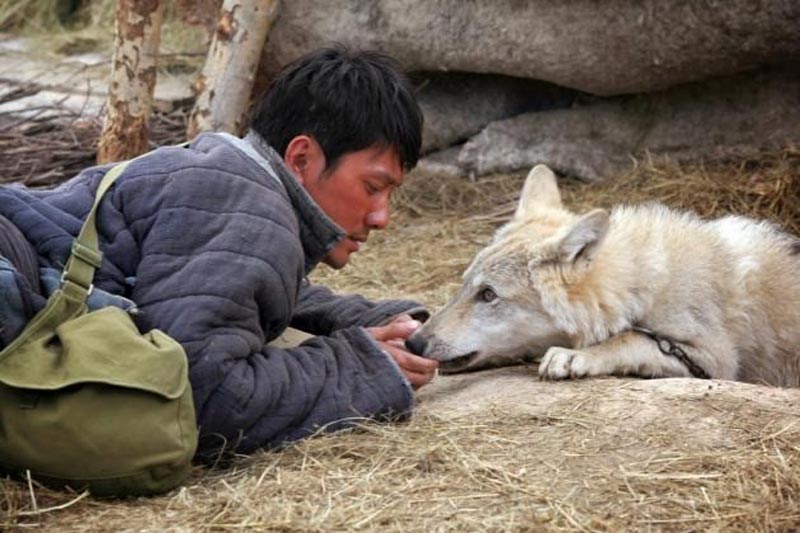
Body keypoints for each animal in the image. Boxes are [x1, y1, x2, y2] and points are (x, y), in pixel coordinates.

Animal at [406, 164, 800, 384]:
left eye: (488, 294)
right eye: (464, 286)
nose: (414, 343)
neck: (641, 287)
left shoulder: (715, 360)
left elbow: (629, 339)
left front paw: (575, 357)